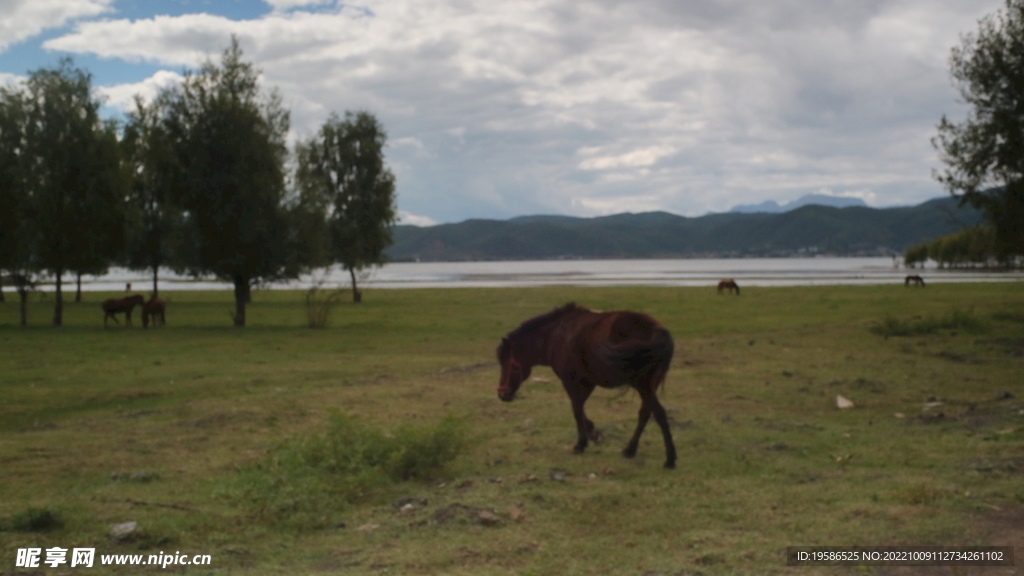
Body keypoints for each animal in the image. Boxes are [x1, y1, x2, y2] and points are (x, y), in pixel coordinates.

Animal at [497, 301, 679, 467]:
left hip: (643, 385)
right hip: (650, 385)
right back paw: (630, 450)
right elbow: (581, 407)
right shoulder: (588, 381)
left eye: (511, 364)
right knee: (645, 413)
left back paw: (670, 459)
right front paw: (592, 432)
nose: (502, 394)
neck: (556, 334)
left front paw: (581, 444)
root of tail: (658, 331)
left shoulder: (570, 380)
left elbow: (576, 408)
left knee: (659, 413)